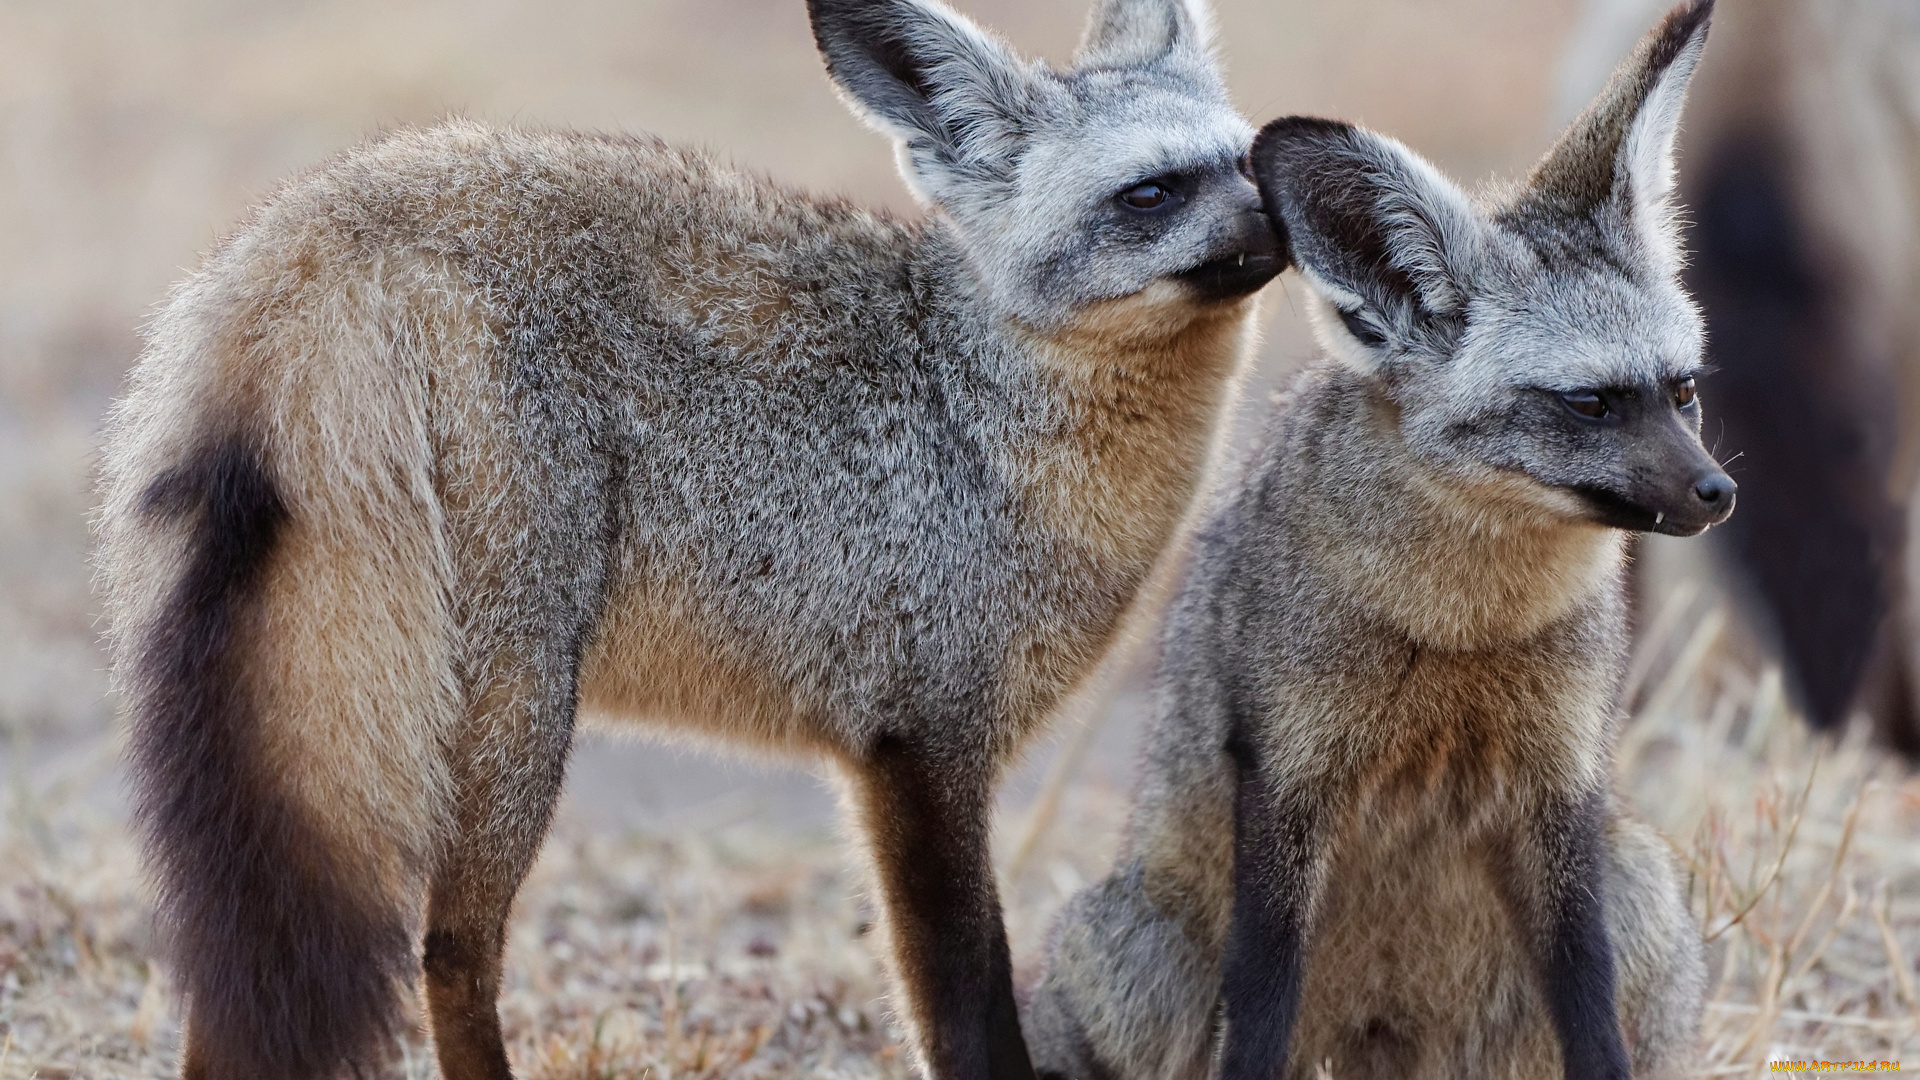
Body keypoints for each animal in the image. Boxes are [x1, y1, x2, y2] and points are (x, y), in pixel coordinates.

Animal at [97, 2, 1282, 1076]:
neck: (975, 405)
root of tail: (332, 227)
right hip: (516, 725)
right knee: (451, 956)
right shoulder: (921, 748)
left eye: (1247, 159)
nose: (1286, 216)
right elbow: (968, 1012)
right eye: (1152, 193)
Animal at [1036, 2, 1728, 1076]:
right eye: (1589, 404)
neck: (1461, 632)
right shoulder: (1289, 780)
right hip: (1142, 953)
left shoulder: (1560, 782)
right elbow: (1260, 1011)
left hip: (1642, 886)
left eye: (1682, 390)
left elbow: (1590, 1003)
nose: (1717, 493)